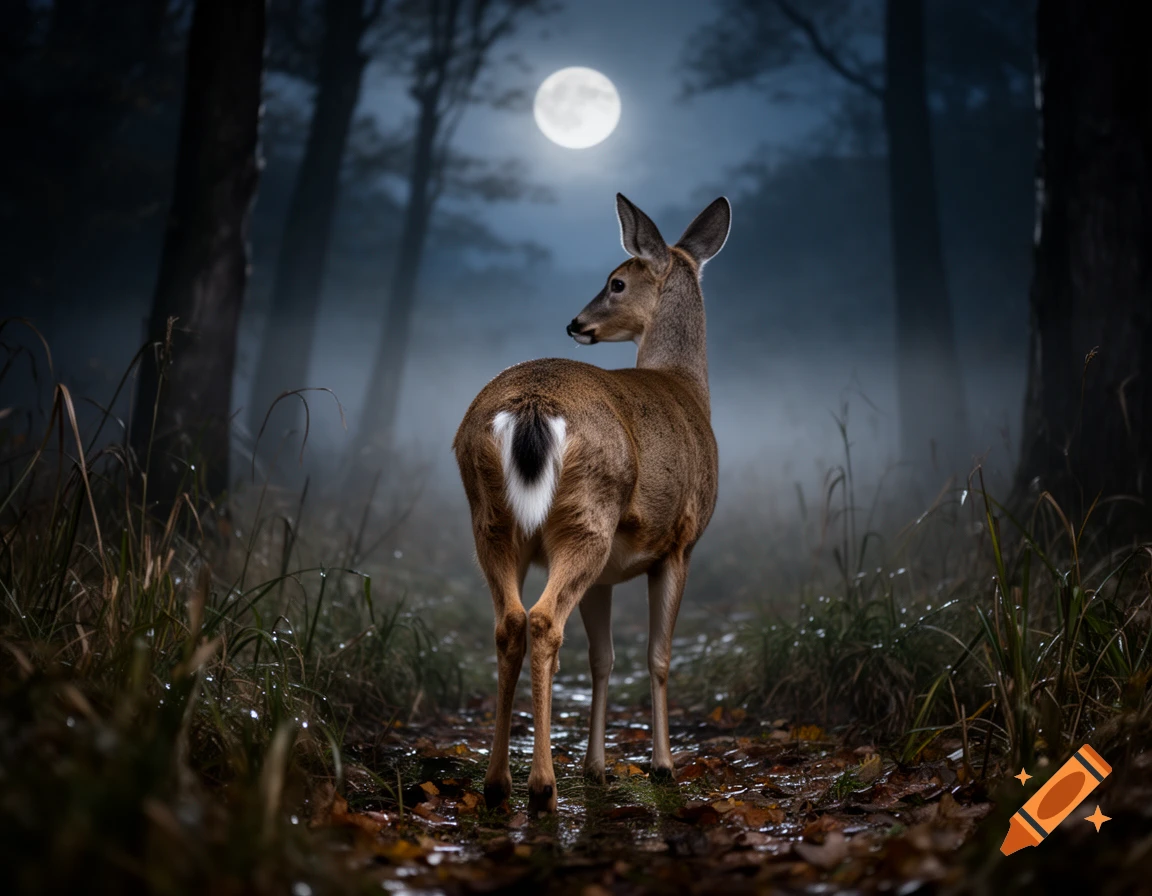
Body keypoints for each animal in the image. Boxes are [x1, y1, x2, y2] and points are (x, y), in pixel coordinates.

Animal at [452, 193, 731, 814]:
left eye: (616, 282)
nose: (576, 323)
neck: (686, 389)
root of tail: (532, 405)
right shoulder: (682, 540)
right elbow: (656, 656)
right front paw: (661, 766)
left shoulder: (607, 574)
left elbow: (603, 660)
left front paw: (599, 768)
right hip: (587, 517)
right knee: (542, 620)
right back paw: (541, 788)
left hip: (490, 518)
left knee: (510, 621)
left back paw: (498, 784)